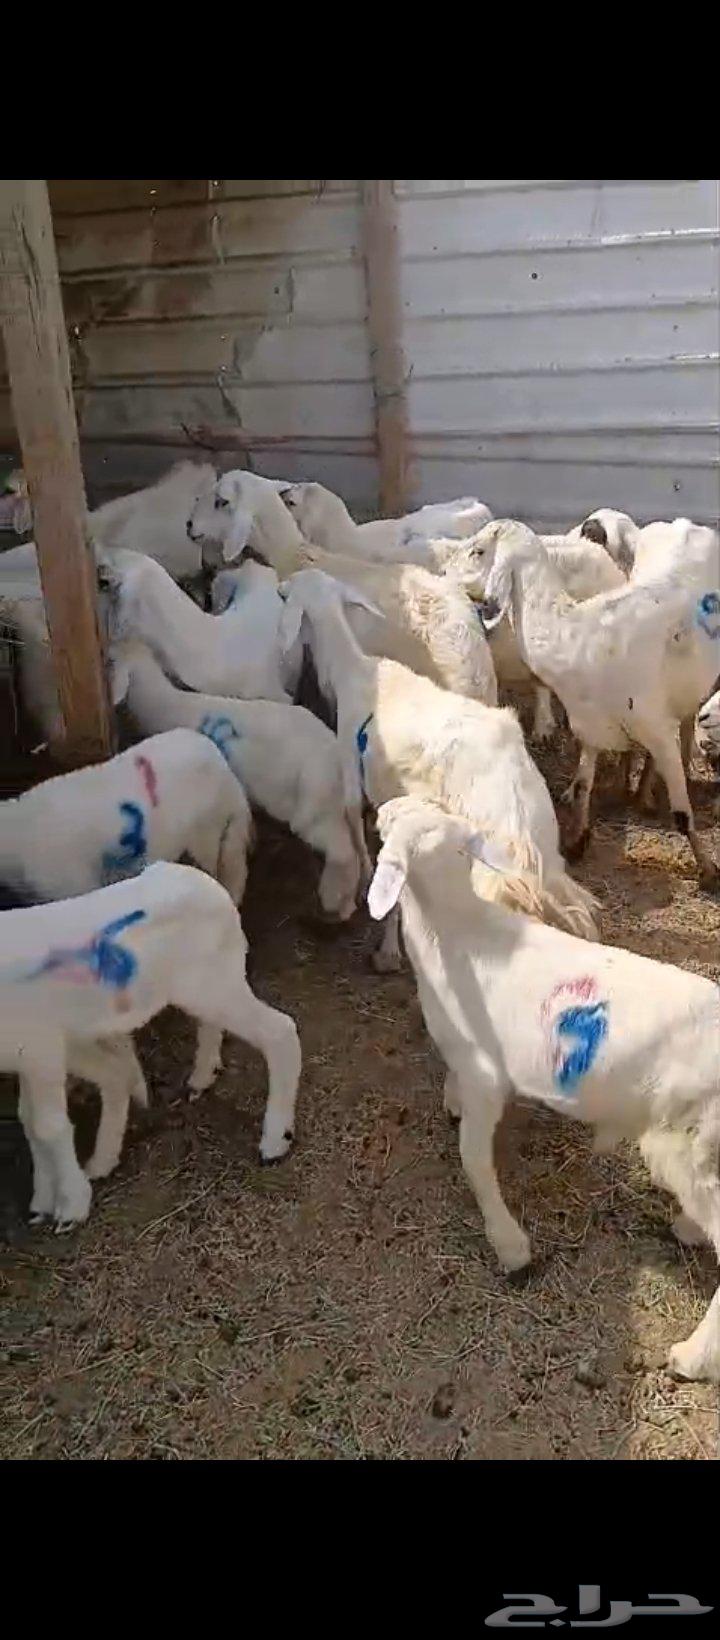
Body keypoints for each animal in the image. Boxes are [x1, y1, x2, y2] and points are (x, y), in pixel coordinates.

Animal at [0, 861, 302, 1226]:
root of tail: (213, 888)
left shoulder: (41, 1048)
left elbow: (47, 1126)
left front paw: (70, 1207)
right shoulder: (27, 1056)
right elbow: (30, 1121)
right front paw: (42, 1201)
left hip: (212, 983)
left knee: (281, 1032)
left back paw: (275, 1141)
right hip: (207, 986)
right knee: (207, 1027)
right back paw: (199, 1080)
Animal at [109, 639, 363, 923]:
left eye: (110, 661)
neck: (163, 703)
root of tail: (337, 754)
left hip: (312, 809)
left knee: (342, 851)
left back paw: (335, 901)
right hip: (331, 807)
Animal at [276, 568, 598, 972]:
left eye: (289, 593)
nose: (277, 586)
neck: (357, 670)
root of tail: (521, 834)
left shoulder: (351, 779)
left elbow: (362, 844)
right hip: (546, 852)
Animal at [366, 794, 720, 1384]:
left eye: (397, 822)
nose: (382, 807)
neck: (455, 928)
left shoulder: (486, 1076)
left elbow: (474, 1161)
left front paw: (510, 1246)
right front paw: (449, 1100)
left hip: (689, 1140)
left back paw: (692, 1357)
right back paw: (688, 1231)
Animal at [477, 520, 720, 887]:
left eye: (477, 551)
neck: (575, 636)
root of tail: (685, 523)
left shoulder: (658, 730)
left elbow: (681, 815)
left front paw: (707, 868)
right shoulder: (590, 729)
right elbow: (581, 787)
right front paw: (577, 840)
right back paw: (637, 789)